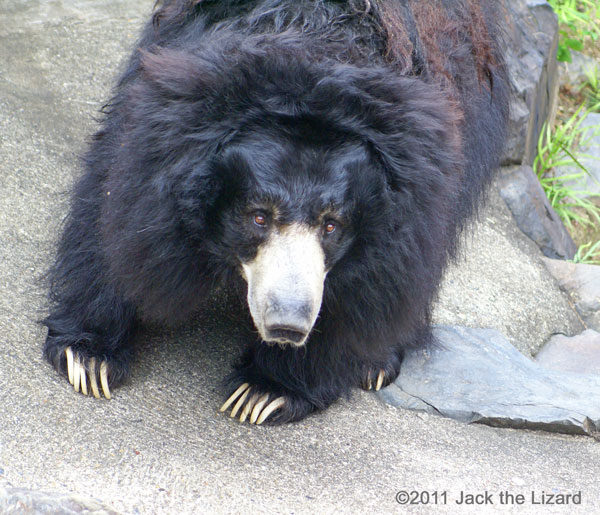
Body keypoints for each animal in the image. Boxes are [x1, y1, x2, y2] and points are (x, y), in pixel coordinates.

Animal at [44, 0, 508, 426]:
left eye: (331, 225)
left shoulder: (415, 180)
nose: (288, 325)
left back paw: (377, 361)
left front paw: (264, 391)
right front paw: (88, 356)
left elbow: (371, 280)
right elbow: (113, 211)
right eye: (258, 216)